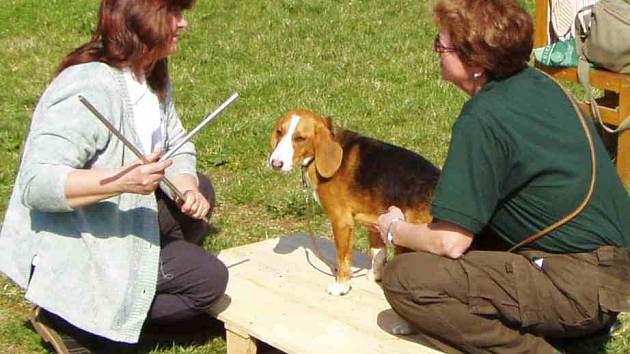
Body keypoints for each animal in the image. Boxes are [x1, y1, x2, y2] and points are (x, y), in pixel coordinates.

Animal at [270, 108, 442, 296]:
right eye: (279, 132)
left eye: (300, 138)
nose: (275, 163)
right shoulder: (377, 221)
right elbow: (377, 252)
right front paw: (375, 275)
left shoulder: (341, 222)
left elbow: (343, 258)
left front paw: (342, 285)